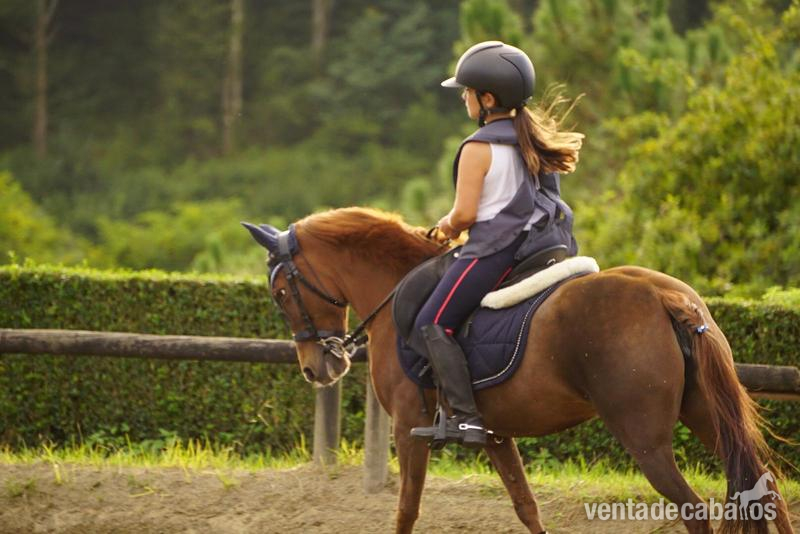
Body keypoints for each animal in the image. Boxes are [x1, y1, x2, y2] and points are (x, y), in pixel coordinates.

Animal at [244, 206, 794, 534]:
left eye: (282, 293)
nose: (318, 368)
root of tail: (665, 297)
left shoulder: (409, 429)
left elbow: (406, 510)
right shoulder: (493, 434)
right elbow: (526, 506)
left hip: (645, 439)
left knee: (695, 510)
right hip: (705, 414)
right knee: (768, 491)